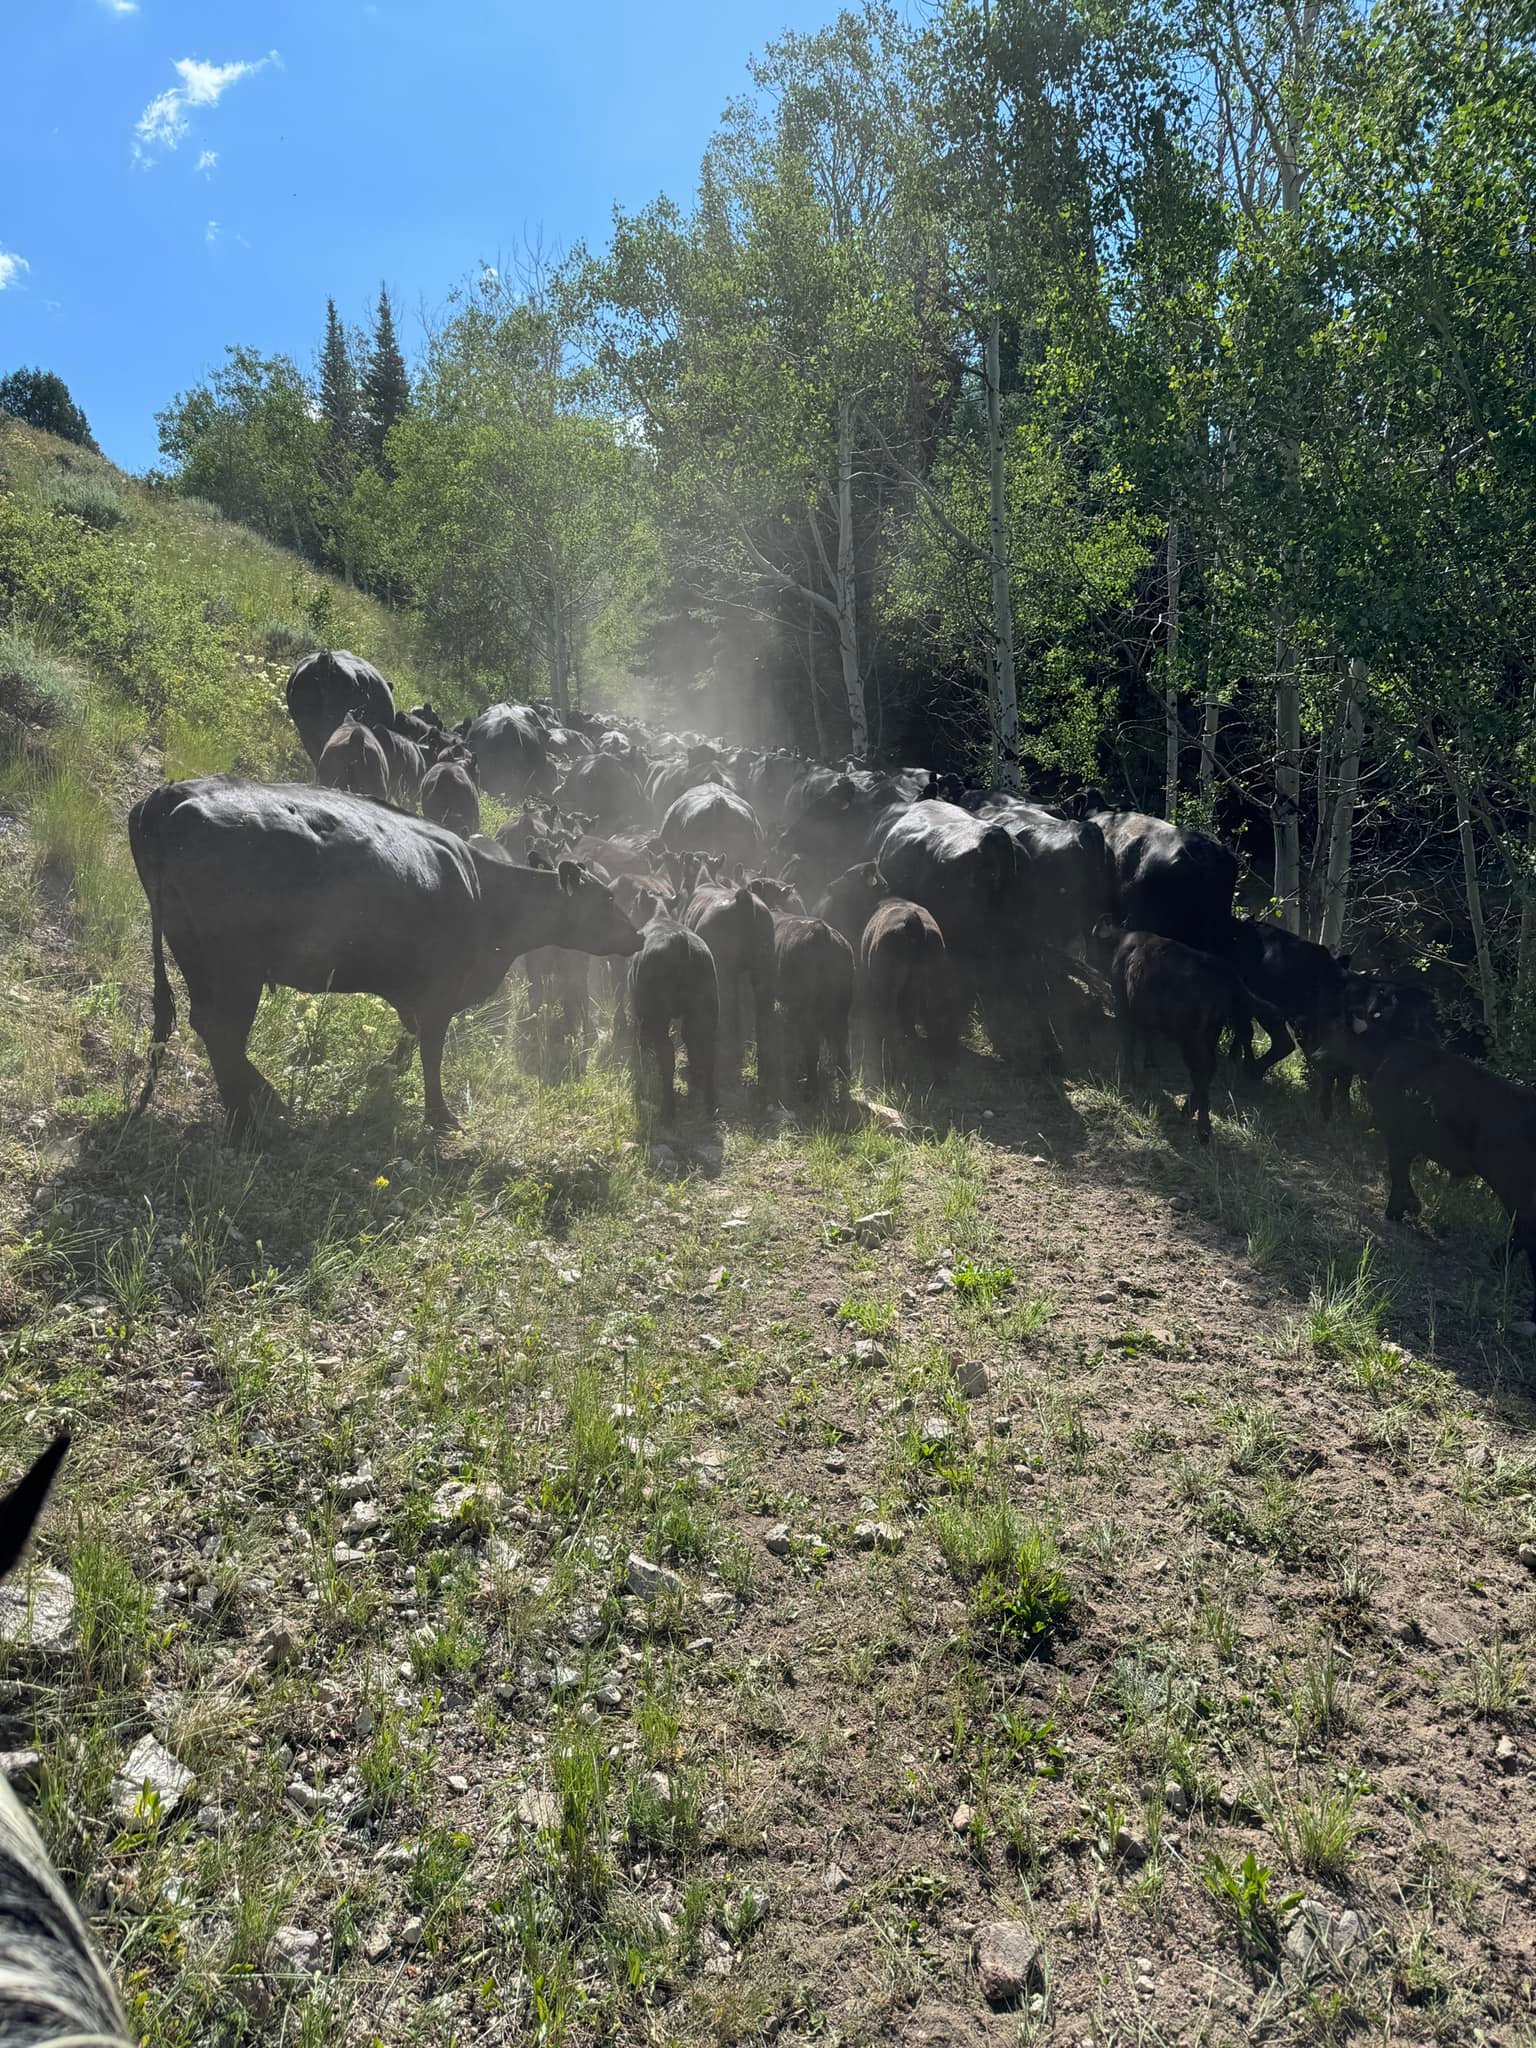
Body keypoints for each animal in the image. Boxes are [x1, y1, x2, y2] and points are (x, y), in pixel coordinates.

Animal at [129, 779, 640, 1136]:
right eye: (606, 900)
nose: (636, 935)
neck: (486, 893)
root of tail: (171, 796)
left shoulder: (413, 989)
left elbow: (409, 1036)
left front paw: (385, 1073)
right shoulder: (441, 988)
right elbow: (432, 1049)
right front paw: (440, 1114)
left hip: (193, 949)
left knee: (208, 1026)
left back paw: (262, 1104)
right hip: (235, 964)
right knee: (223, 1030)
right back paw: (251, 1117)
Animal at [861, 898, 957, 1082]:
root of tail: (913, 924)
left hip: (888, 991)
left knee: (890, 1028)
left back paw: (891, 1070)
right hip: (935, 987)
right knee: (935, 1023)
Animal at [1100, 927, 1292, 1142]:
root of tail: (1225, 974)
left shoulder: (1123, 1004)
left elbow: (1129, 1039)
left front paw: (1129, 1075)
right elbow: (1147, 1036)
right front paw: (1150, 1063)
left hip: (1190, 1037)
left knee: (1201, 1070)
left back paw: (1202, 1128)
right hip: (1209, 1033)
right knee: (1209, 1068)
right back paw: (1190, 1110)